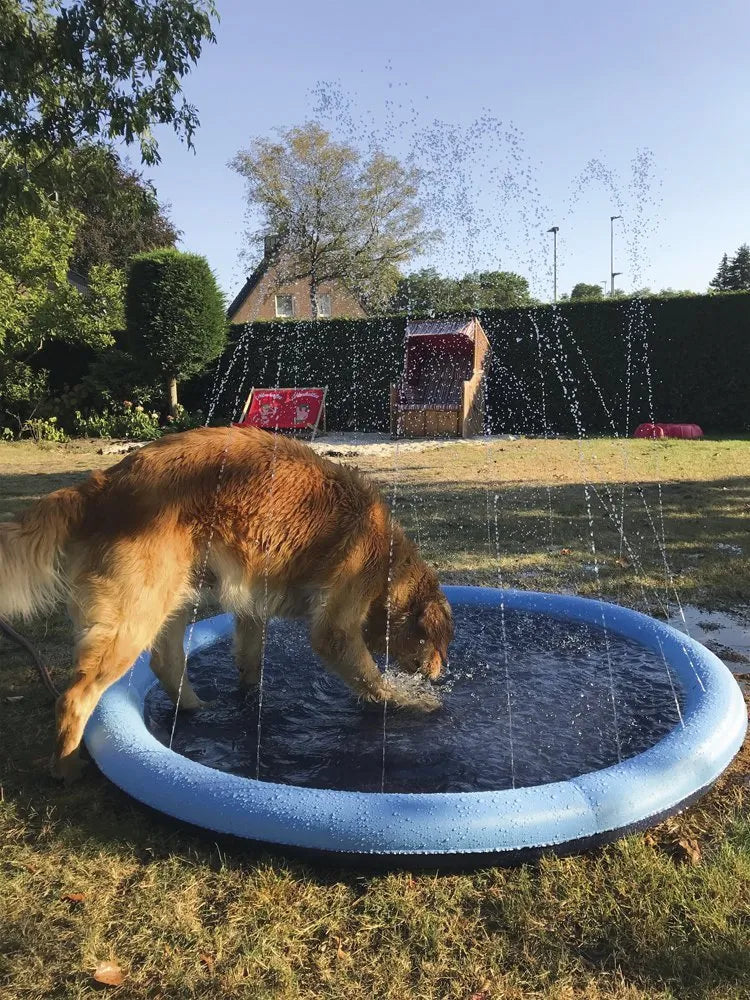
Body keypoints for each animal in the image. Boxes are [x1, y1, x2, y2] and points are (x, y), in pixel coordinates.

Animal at [0, 426, 456, 776]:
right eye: (439, 644)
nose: (440, 674)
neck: (387, 558)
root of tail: (100, 486)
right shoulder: (336, 628)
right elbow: (373, 680)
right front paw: (416, 703)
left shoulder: (253, 607)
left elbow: (251, 661)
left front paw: (249, 701)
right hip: (136, 613)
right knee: (75, 697)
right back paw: (67, 767)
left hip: (174, 595)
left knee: (165, 662)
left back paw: (197, 710)